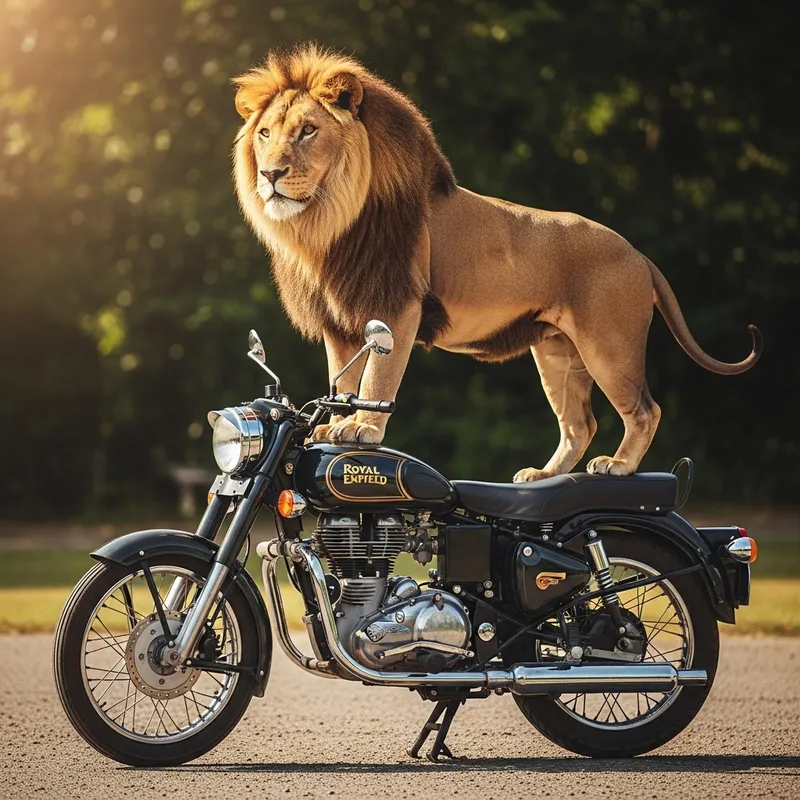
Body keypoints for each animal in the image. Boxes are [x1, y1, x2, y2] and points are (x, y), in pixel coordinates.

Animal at [232, 44, 760, 481]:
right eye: (264, 134)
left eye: (307, 131)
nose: (270, 174)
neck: (325, 225)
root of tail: (638, 253)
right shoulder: (341, 320)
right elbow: (344, 381)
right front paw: (335, 425)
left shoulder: (397, 305)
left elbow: (377, 377)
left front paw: (362, 430)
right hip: (557, 352)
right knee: (580, 422)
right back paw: (544, 476)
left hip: (609, 344)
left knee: (645, 409)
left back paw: (619, 466)